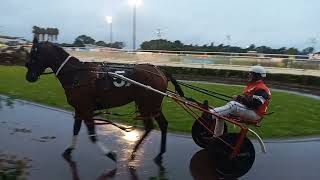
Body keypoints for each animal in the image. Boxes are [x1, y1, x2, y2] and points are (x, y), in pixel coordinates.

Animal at [24, 38, 184, 163]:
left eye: (34, 55)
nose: (29, 77)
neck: (76, 75)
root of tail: (160, 71)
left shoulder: (86, 109)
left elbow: (92, 135)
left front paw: (110, 154)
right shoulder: (79, 109)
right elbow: (75, 129)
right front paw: (69, 150)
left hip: (148, 104)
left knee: (153, 125)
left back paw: (135, 151)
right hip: (150, 105)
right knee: (159, 125)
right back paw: (157, 154)